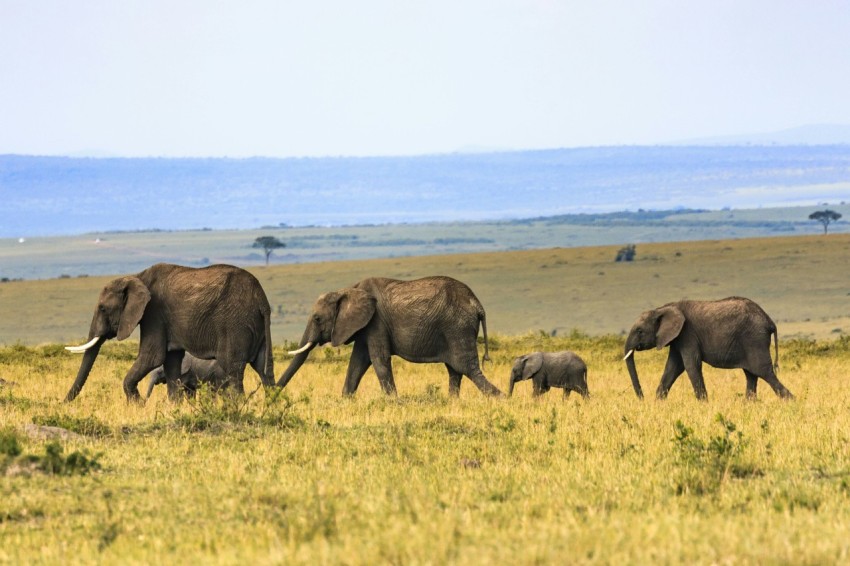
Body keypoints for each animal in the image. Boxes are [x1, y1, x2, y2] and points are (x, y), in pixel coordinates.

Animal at [64, 263, 275, 402]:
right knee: (264, 369)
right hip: (256, 326)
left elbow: (152, 357)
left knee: (233, 369)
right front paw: (175, 408)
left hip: (235, 324)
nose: (64, 402)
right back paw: (272, 407)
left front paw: (138, 405)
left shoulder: (153, 313)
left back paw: (237, 409)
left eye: (102, 308)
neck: (137, 277)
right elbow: (171, 362)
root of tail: (261, 299)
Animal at [278, 276, 502, 397]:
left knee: (467, 368)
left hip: (457, 328)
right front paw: (345, 400)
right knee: (455, 370)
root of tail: (478, 305)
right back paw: (452, 402)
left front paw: (394, 402)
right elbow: (357, 362)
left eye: (317, 318)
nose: (272, 393)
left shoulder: (376, 322)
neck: (348, 289)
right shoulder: (365, 326)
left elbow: (379, 360)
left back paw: (501, 398)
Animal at [623, 296, 794, 401]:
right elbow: (673, 367)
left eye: (640, 331)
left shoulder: (688, 334)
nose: (642, 398)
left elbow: (691, 365)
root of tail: (769, 321)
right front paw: (658, 402)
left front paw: (704, 404)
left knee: (764, 372)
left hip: (754, 340)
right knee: (751, 375)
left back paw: (791, 401)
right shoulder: (678, 339)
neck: (663, 308)